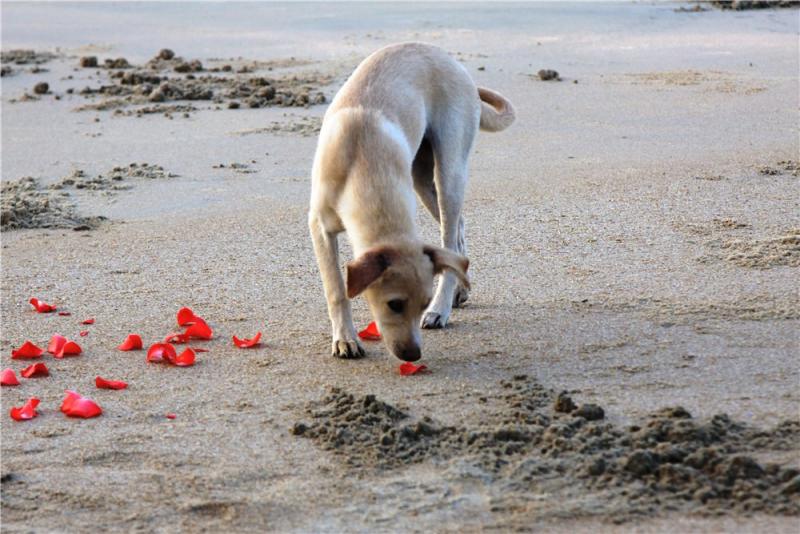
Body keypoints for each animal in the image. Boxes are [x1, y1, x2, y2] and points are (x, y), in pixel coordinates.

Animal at [310, 40, 516, 360]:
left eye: (422, 302)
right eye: (394, 304)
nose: (413, 356)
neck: (363, 165)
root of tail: (448, 58)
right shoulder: (319, 227)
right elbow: (336, 288)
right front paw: (345, 339)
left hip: (449, 174)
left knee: (450, 236)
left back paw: (442, 309)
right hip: (422, 180)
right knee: (458, 232)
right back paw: (459, 290)